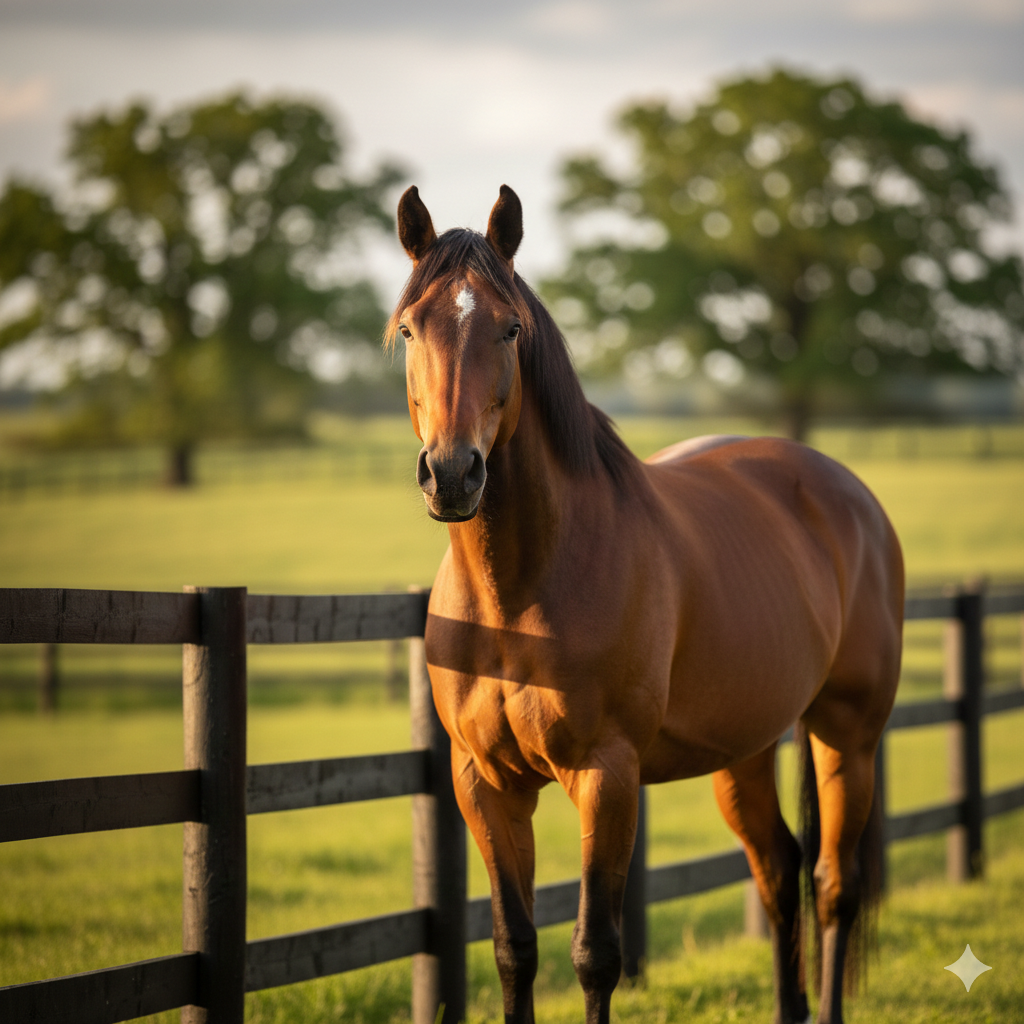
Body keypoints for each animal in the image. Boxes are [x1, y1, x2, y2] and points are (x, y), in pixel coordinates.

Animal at [388, 184, 903, 1024]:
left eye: (509, 326)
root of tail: (849, 493)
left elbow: (595, 952)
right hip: (746, 747)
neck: (518, 597)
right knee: (778, 865)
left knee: (833, 884)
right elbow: (514, 947)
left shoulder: (607, 777)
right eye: (410, 328)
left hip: (847, 736)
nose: (454, 474)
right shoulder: (485, 784)